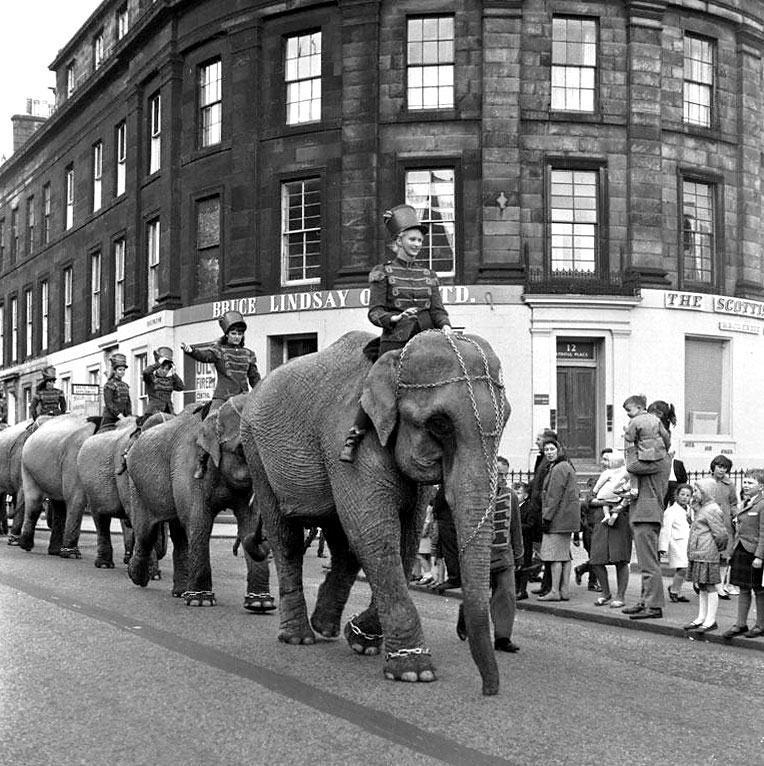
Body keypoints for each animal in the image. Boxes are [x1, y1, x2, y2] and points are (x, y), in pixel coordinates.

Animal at [18, 414, 99, 560]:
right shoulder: (74, 459)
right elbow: (76, 498)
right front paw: (71, 554)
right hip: (28, 466)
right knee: (35, 502)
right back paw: (27, 545)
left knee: (59, 505)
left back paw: (55, 551)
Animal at [128, 396, 274, 612]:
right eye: (241, 449)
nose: (263, 545)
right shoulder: (189, 467)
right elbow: (200, 523)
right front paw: (202, 601)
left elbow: (248, 521)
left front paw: (260, 603)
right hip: (137, 488)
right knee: (146, 533)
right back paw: (138, 577)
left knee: (178, 534)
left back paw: (180, 592)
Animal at [242, 328, 510, 696]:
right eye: (440, 425)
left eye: (506, 418)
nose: (488, 690)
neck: (393, 362)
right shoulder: (345, 439)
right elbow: (376, 534)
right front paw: (413, 672)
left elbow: (405, 538)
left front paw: (361, 640)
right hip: (257, 453)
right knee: (287, 539)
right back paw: (299, 637)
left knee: (343, 541)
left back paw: (325, 626)